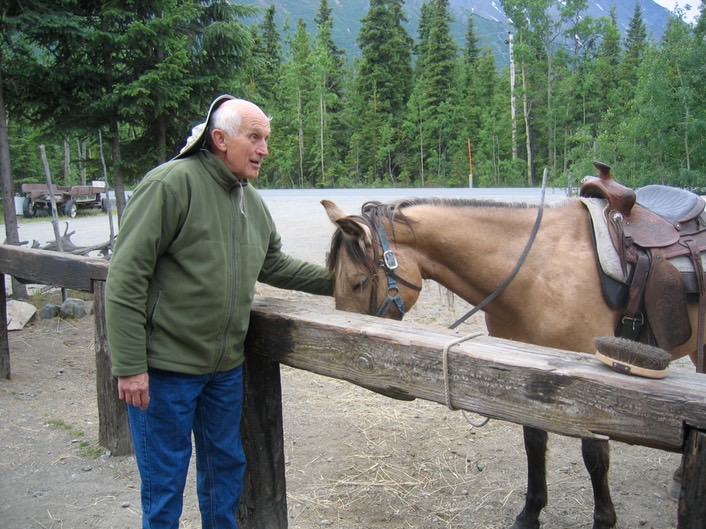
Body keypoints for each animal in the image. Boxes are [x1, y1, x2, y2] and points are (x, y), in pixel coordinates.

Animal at [322, 164, 704, 528]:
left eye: (358, 282)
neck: (537, 272)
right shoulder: (524, 375)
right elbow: (533, 442)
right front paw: (530, 513)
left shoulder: (595, 386)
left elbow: (595, 457)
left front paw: (602, 520)